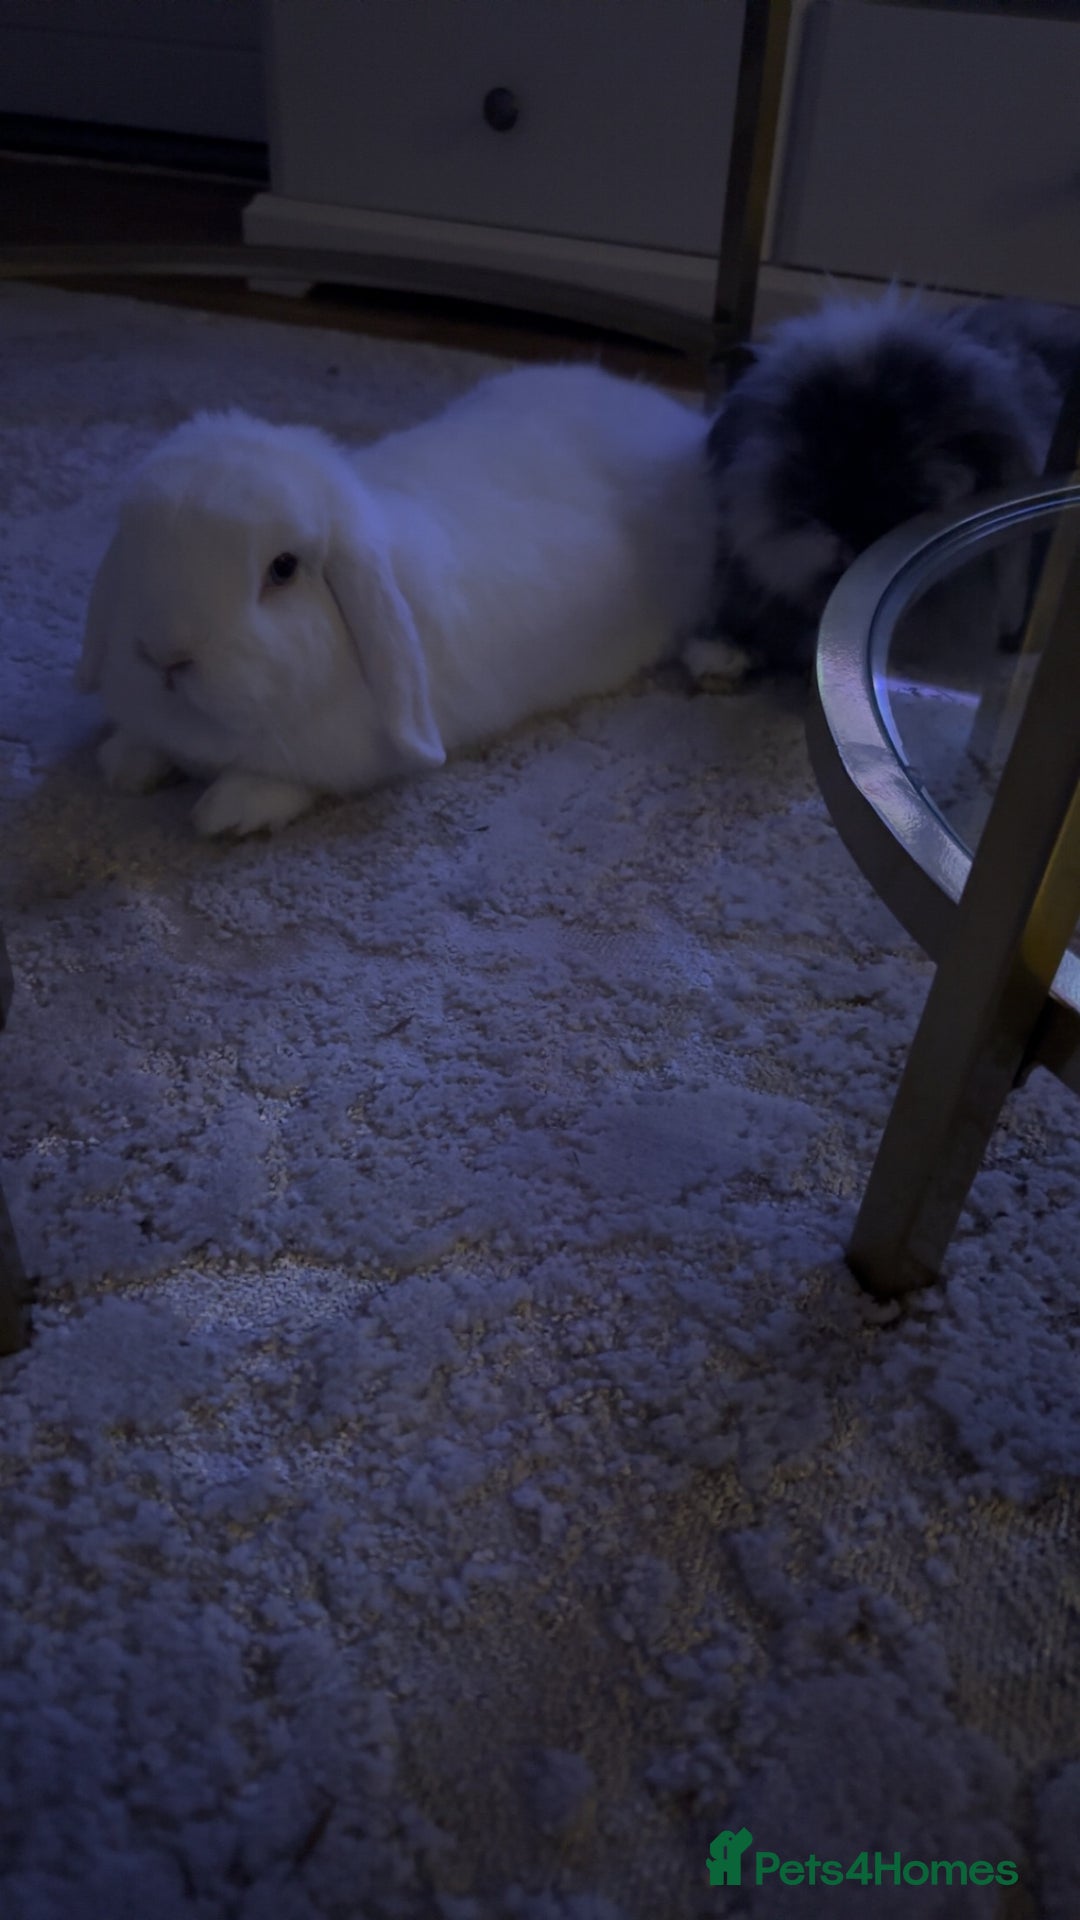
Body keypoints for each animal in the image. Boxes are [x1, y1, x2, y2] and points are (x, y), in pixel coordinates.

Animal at [78, 362, 717, 837]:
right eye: (135, 541)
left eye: (283, 570)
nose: (165, 654)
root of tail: (674, 422)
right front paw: (125, 765)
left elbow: (289, 780)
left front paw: (228, 810)